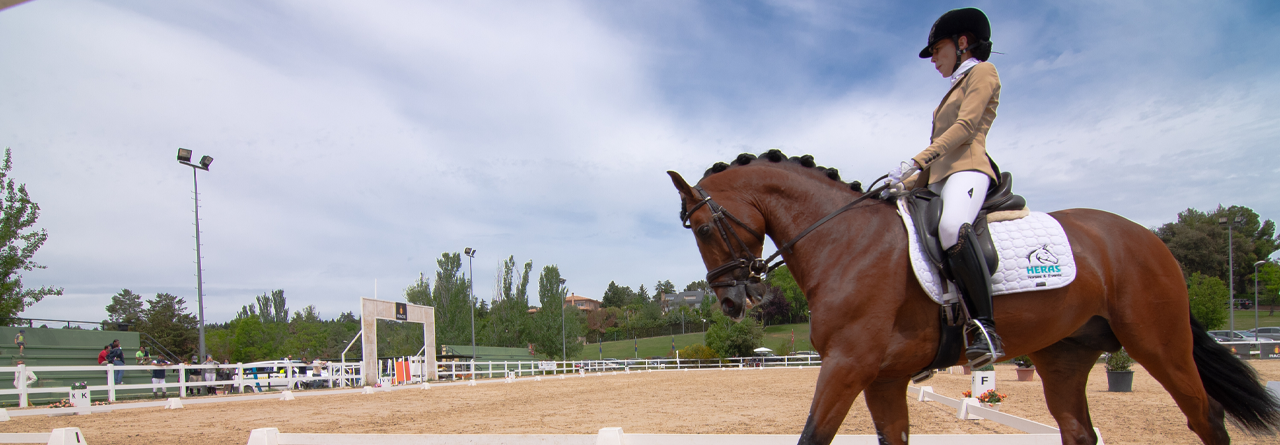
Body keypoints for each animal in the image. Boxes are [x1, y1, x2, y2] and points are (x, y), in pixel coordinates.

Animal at [670, 150, 1280, 445]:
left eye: (700, 228)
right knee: (1079, 431)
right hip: (1064, 357)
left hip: (1159, 343)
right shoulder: (883, 378)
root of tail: (1148, 238)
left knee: (1207, 418)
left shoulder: (847, 365)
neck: (844, 240)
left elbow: (812, 437)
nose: (733, 303)